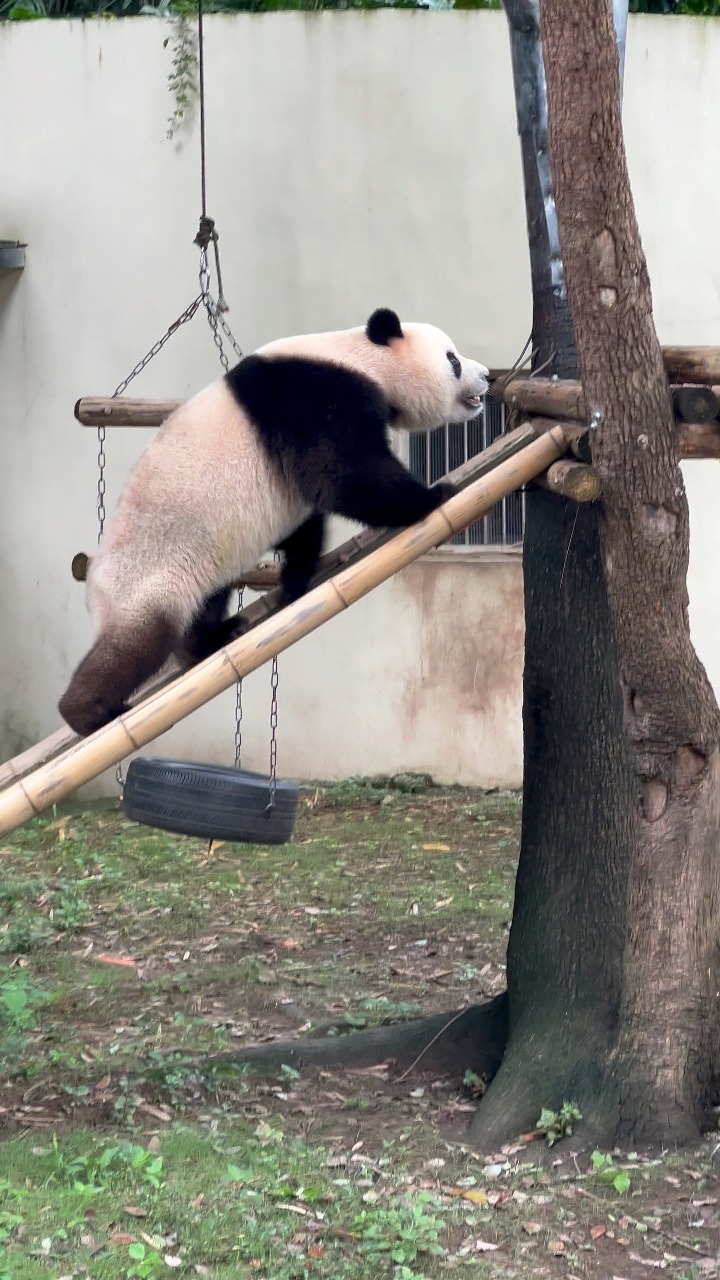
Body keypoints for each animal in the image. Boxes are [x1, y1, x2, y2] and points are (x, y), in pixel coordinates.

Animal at [59, 307, 489, 737]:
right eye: (452, 359)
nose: (487, 375)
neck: (360, 358)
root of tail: (93, 584)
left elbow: (305, 522)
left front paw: (297, 578)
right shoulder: (313, 397)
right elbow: (341, 473)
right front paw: (433, 495)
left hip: (198, 565)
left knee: (203, 606)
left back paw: (211, 639)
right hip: (146, 578)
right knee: (137, 645)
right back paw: (88, 712)